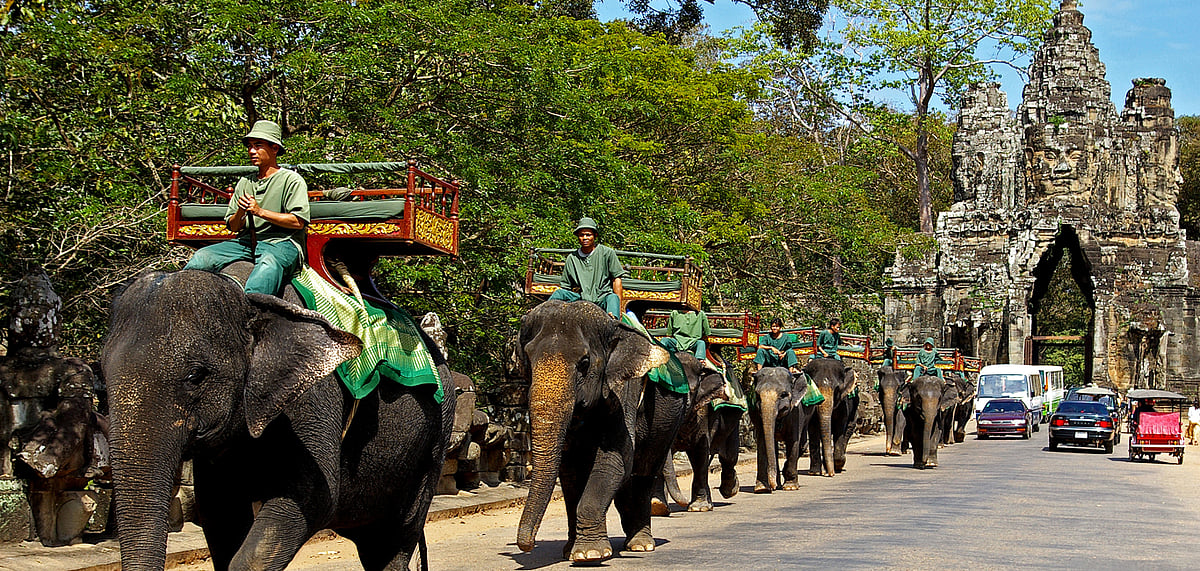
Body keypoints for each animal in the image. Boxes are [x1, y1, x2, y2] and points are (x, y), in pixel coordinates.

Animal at [102, 267, 455, 571]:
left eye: (195, 376)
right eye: (102, 374)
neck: (246, 295)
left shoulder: (314, 398)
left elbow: (314, 499)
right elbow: (218, 508)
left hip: (434, 443)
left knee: (392, 542)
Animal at [515, 300, 698, 563]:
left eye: (584, 363)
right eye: (528, 360)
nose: (526, 545)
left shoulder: (625, 390)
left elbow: (614, 460)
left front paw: (589, 554)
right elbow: (570, 469)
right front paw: (571, 551)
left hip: (670, 419)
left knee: (643, 472)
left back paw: (640, 544)